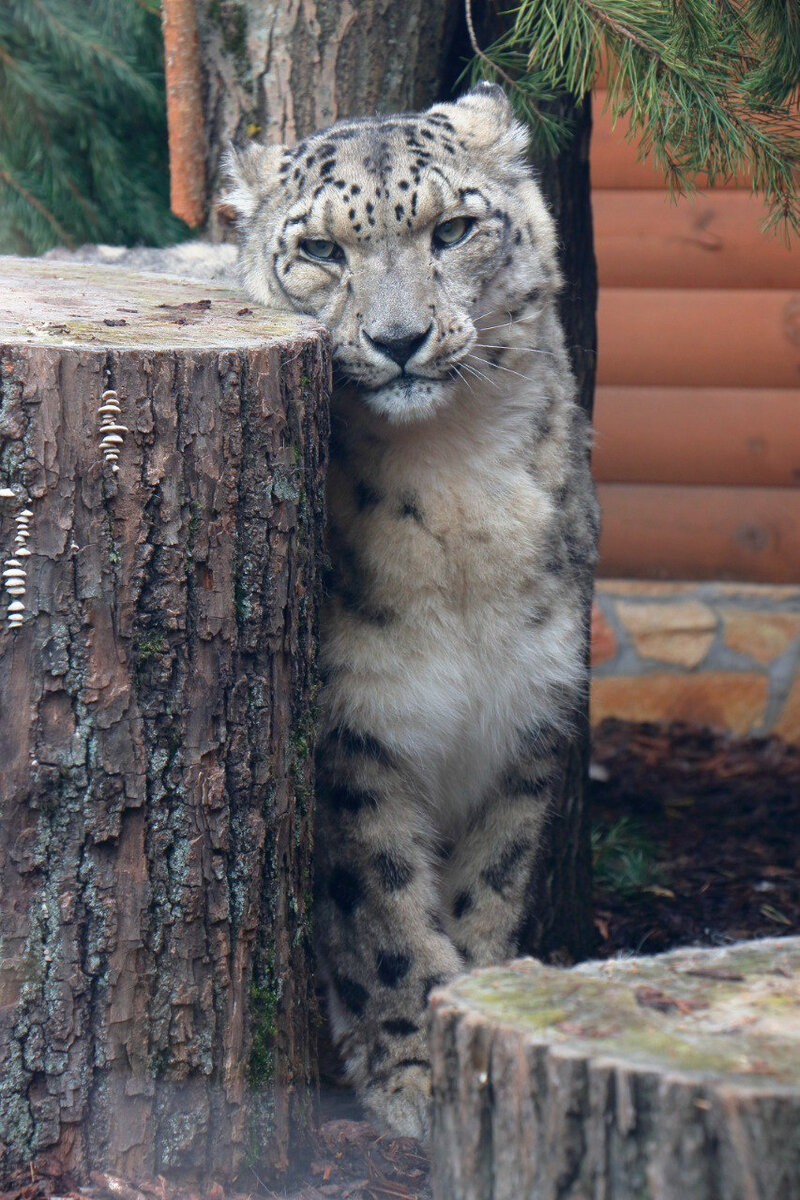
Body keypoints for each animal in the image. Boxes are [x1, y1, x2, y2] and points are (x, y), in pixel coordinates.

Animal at [221, 82, 597, 1132]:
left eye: (454, 229)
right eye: (320, 249)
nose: (398, 341)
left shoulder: (530, 711)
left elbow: (491, 886)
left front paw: (478, 1008)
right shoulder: (352, 729)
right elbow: (383, 906)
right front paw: (419, 1066)